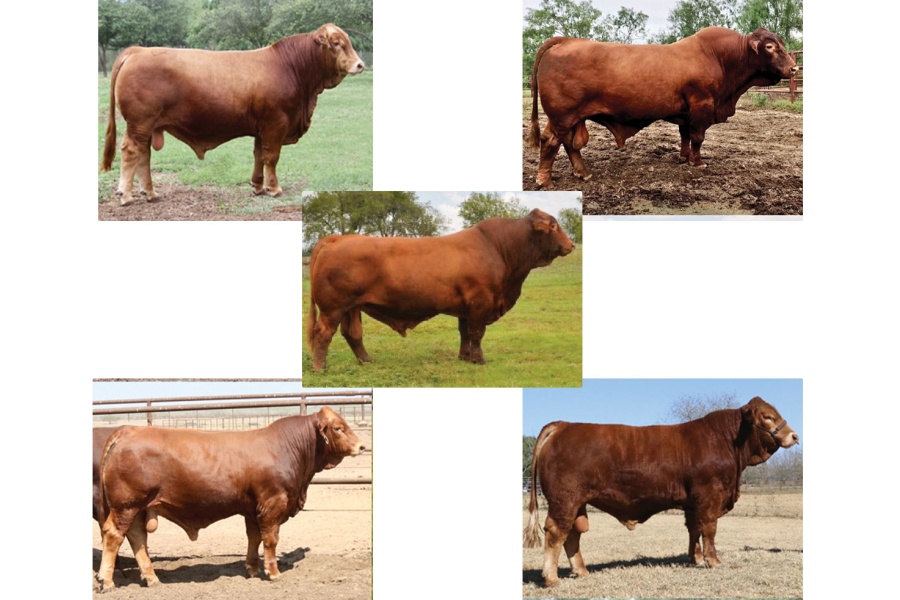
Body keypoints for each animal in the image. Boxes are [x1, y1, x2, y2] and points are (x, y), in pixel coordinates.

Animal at [96, 407, 364, 590]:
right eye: (338, 428)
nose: (362, 446)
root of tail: (128, 430)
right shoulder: (273, 504)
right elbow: (271, 539)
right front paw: (273, 572)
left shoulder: (253, 509)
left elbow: (254, 538)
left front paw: (253, 569)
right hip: (126, 505)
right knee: (113, 534)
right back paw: (106, 581)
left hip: (137, 507)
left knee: (137, 537)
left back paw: (152, 578)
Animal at [100, 23, 365, 206]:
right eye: (336, 43)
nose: (360, 64)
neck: (291, 68)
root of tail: (138, 50)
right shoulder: (276, 124)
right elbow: (272, 157)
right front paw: (274, 188)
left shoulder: (261, 128)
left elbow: (259, 156)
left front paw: (258, 186)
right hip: (140, 123)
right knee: (131, 152)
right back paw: (126, 195)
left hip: (146, 126)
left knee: (143, 155)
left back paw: (151, 193)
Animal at [305, 208, 575, 371]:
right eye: (553, 226)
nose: (571, 245)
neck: (498, 248)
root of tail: (338, 238)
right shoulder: (481, 301)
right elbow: (477, 333)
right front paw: (479, 359)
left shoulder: (467, 307)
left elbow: (465, 332)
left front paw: (465, 357)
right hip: (333, 308)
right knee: (324, 333)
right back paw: (320, 367)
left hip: (352, 307)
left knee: (352, 334)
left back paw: (367, 360)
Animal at [523, 397, 799, 587]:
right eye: (768, 417)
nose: (794, 436)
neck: (727, 442)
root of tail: (563, 425)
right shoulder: (710, 497)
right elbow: (708, 529)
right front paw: (713, 561)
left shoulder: (693, 502)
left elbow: (693, 529)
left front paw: (695, 559)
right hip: (565, 500)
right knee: (556, 532)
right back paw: (551, 578)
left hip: (576, 503)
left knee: (572, 535)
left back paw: (581, 571)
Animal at [529, 27, 799, 188]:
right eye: (770, 47)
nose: (794, 68)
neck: (719, 57)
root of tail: (565, 40)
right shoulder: (702, 105)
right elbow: (698, 137)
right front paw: (697, 162)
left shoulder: (686, 112)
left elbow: (685, 135)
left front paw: (683, 157)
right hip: (562, 115)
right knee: (551, 141)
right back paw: (544, 180)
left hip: (570, 117)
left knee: (570, 144)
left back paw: (583, 172)